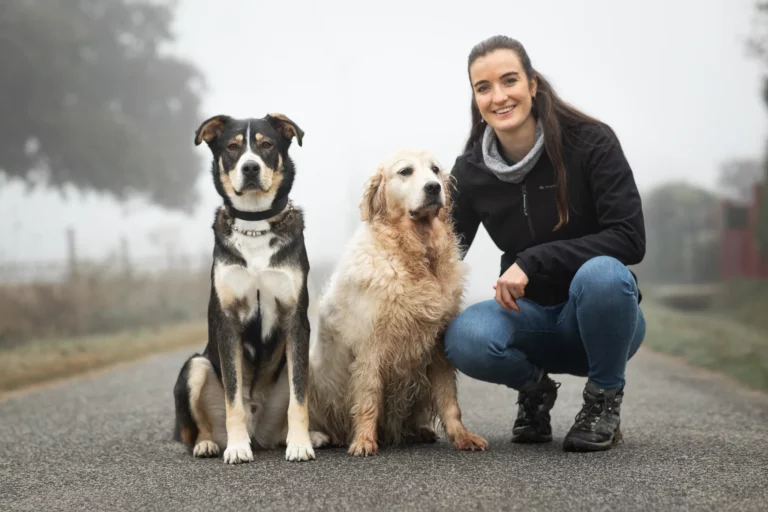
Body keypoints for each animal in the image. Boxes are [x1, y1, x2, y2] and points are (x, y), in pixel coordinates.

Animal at [172, 113, 322, 464]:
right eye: (232, 147)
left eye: (266, 145)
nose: (250, 167)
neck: (255, 224)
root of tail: (260, 431)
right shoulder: (227, 321)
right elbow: (233, 398)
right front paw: (238, 448)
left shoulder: (296, 320)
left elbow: (299, 398)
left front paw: (300, 445)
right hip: (194, 366)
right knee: (197, 428)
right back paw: (208, 444)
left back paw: (308, 436)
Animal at [306, 148, 486, 456]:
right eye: (405, 171)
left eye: (435, 170)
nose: (433, 188)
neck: (416, 255)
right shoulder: (370, 346)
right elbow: (368, 396)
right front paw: (364, 441)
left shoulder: (438, 346)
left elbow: (450, 401)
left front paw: (462, 436)